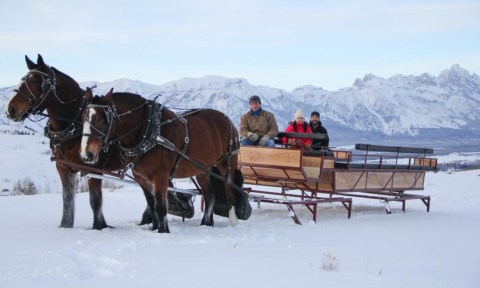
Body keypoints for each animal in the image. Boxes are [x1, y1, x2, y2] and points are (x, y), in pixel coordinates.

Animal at [3, 54, 186, 230]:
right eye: (23, 79)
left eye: (35, 80)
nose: (10, 109)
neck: (74, 125)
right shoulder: (63, 167)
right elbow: (67, 200)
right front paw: (65, 226)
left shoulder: (93, 168)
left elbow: (95, 200)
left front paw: (99, 226)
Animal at [80, 88, 249, 234]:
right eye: (83, 118)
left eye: (101, 118)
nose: (86, 154)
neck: (148, 130)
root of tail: (227, 119)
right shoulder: (141, 177)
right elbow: (151, 203)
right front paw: (154, 227)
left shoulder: (160, 176)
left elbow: (161, 205)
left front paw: (163, 230)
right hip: (202, 169)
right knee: (210, 195)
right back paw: (206, 223)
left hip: (227, 162)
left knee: (229, 189)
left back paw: (233, 221)